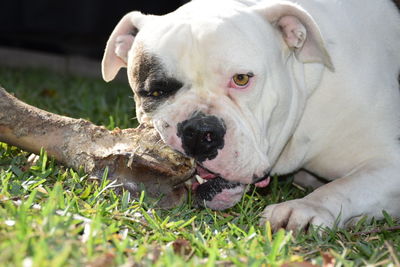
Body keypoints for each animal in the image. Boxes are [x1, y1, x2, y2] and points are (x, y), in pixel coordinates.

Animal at [101, 0, 400, 231]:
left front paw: (305, 208)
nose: (199, 131)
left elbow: (345, 187)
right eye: (155, 91)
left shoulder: (388, 162)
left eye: (242, 79)